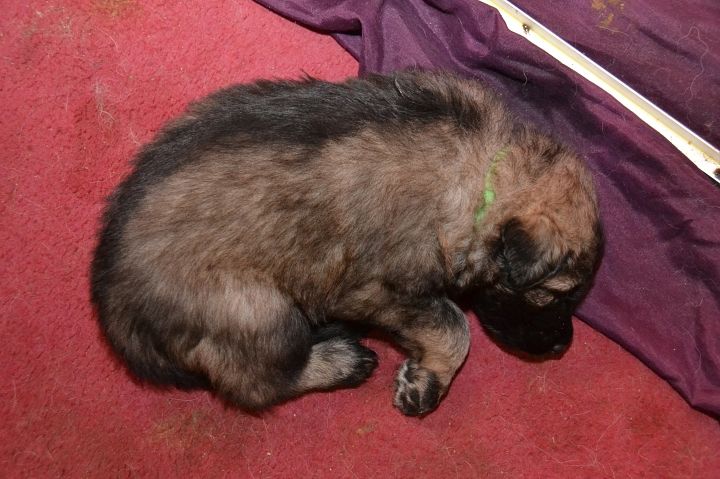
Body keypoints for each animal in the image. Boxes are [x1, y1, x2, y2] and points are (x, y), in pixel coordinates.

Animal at [91, 71, 603, 416]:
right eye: (558, 295)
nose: (562, 347)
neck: (489, 175)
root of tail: (116, 312)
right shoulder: (374, 288)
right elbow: (455, 325)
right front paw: (428, 382)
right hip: (253, 308)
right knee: (255, 383)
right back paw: (340, 360)